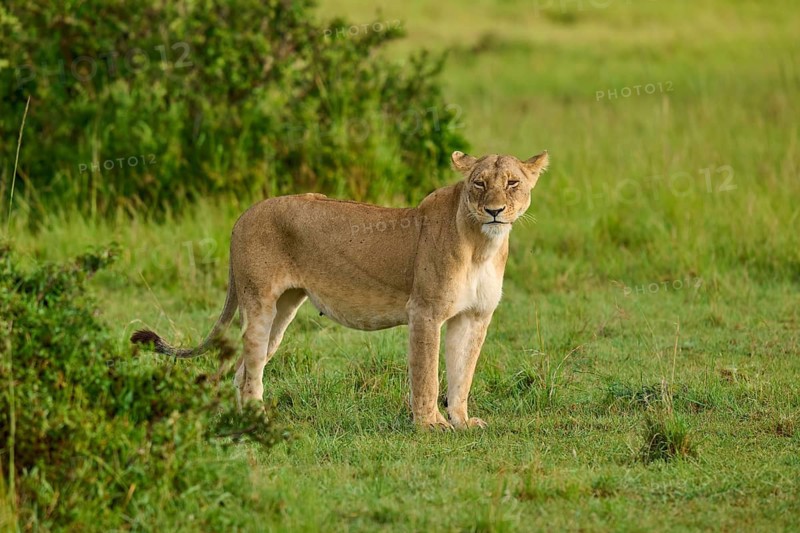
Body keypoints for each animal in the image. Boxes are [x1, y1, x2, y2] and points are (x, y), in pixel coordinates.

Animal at [131, 150, 548, 430]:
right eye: (479, 183)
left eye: (512, 183)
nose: (494, 211)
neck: (482, 245)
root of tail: (244, 214)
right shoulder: (425, 312)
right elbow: (427, 374)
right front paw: (430, 425)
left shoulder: (474, 317)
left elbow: (463, 373)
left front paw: (461, 422)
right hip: (260, 302)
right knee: (249, 366)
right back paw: (257, 419)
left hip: (284, 309)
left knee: (245, 368)